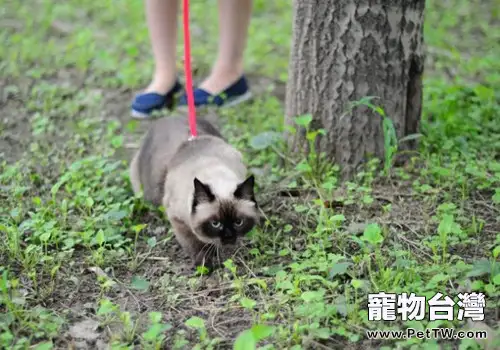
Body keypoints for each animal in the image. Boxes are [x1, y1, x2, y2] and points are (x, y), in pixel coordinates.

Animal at [130, 117, 258, 268]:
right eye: (215, 224)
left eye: (239, 222)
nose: (229, 238)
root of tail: (166, 118)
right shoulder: (178, 220)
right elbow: (194, 244)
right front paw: (204, 263)